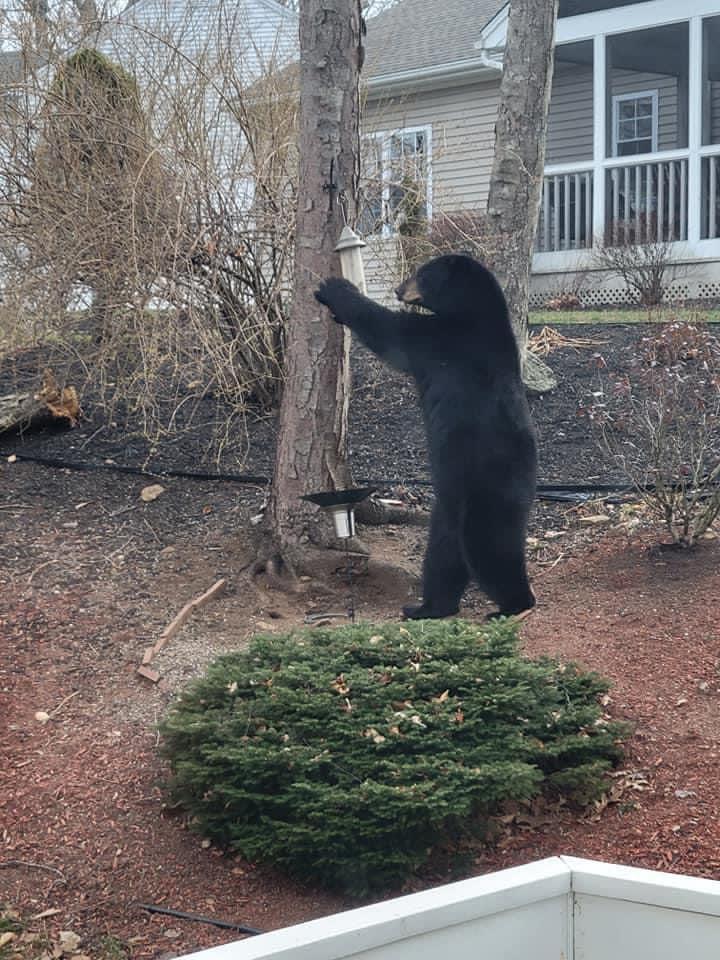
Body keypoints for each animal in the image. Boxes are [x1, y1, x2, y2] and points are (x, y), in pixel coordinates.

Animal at [314, 252, 537, 620]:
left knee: (489, 547)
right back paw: (426, 606)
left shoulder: (439, 338)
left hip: (489, 490)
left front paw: (334, 289)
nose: (397, 288)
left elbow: (389, 331)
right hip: (449, 509)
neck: (473, 312)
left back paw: (512, 605)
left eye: (420, 273)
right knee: (443, 556)